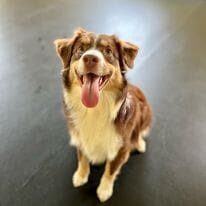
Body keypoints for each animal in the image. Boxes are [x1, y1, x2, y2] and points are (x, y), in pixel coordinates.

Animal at [54, 28, 152, 202]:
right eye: (80, 49)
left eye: (108, 52)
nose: (90, 58)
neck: (94, 110)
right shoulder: (80, 137)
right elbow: (82, 158)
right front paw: (81, 175)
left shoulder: (121, 148)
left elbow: (110, 170)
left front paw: (104, 190)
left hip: (144, 111)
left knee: (140, 130)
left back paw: (140, 144)